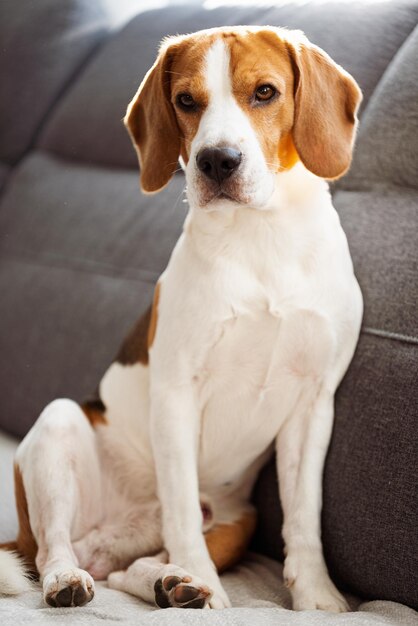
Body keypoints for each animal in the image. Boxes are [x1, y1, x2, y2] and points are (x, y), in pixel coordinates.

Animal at [0, 25, 362, 608]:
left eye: (265, 92)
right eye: (186, 101)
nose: (217, 161)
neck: (260, 234)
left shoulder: (314, 404)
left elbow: (305, 518)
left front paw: (317, 597)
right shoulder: (175, 392)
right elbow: (182, 511)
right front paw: (203, 579)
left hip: (239, 523)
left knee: (127, 567)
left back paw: (174, 584)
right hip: (58, 425)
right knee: (57, 547)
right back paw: (82, 580)